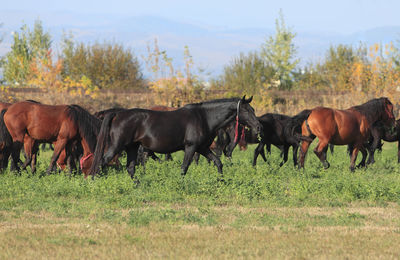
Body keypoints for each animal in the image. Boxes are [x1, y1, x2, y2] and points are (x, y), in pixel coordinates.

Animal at [88, 96, 260, 180]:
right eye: (246, 110)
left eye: (253, 109)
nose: (258, 127)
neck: (204, 117)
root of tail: (118, 114)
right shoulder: (191, 147)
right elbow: (184, 168)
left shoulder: (202, 148)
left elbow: (218, 162)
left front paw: (221, 180)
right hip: (117, 146)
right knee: (101, 162)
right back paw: (94, 182)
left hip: (132, 147)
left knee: (130, 168)